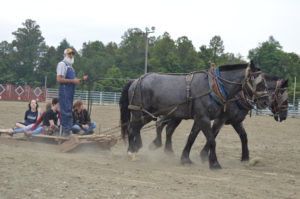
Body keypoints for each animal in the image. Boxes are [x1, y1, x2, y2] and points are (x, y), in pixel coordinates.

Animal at [118, 61, 268, 169]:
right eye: (260, 83)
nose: (265, 101)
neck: (213, 88)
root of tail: (136, 81)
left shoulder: (200, 118)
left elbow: (192, 138)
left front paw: (186, 159)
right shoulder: (204, 118)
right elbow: (212, 140)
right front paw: (214, 163)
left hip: (148, 115)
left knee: (139, 128)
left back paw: (138, 148)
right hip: (139, 112)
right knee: (132, 129)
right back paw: (131, 153)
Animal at [151, 73, 290, 163]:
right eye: (282, 94)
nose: (284, 116)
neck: (239, 96)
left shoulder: (236, 121)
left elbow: (243, 136)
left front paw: (245, 157)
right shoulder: (219, 119)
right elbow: (212, 134)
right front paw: (204, 155)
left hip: (176, 115)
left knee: (166, 128)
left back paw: (165, 149)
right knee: (162, 126)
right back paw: (159, 145)